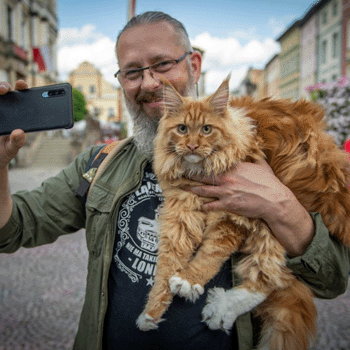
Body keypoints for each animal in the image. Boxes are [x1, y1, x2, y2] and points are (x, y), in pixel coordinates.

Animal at [135, 75, 350, 348]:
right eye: (182, 129)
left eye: (207, 129)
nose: (192, 146)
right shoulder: (180, 215)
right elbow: (165, 267)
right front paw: (150, 314)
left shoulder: (234, 214)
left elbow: (211, 253)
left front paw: (188, 280)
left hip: (276, 217)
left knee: (273, 277)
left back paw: (221, 309)